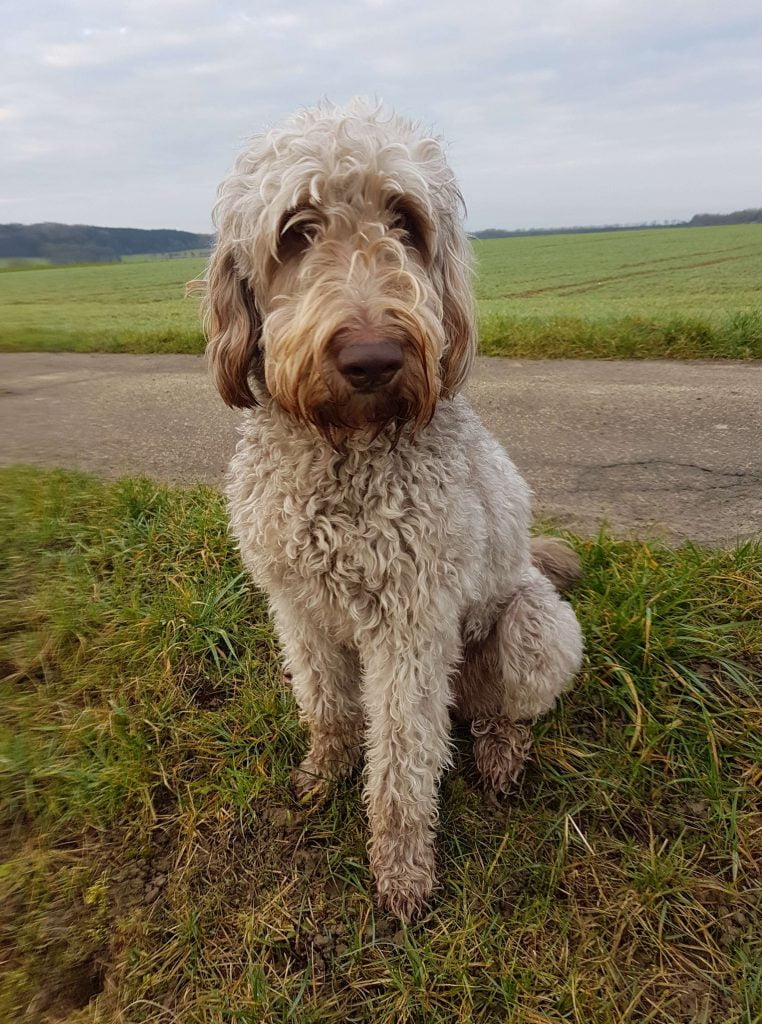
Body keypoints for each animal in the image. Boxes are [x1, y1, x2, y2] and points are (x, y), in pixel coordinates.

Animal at [203, 101, 581, 921]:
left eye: (405, 221)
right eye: (297, 230)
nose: (373, 359)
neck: (345, 453)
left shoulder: (411, 624)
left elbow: (404, 760)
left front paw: (402, 868)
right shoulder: (297, 606)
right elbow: (326, 704)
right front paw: (325, 772)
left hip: (533, 629)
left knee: (500, 709)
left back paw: (501, 752)